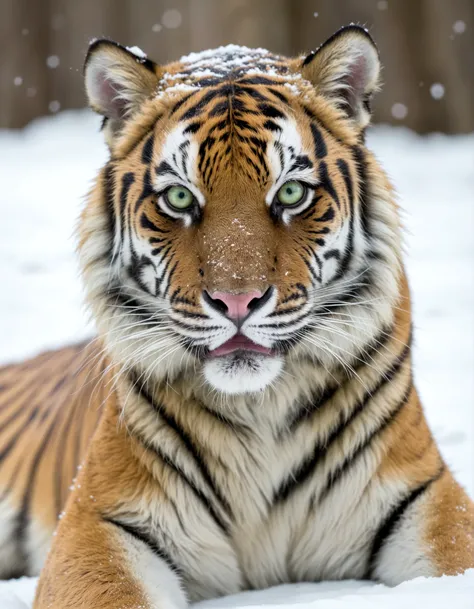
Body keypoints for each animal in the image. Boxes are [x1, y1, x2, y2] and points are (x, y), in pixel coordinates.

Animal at [0, 23, 470, 608]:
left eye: (290, 192)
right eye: (180, 198)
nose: (238, 302)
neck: (259, 407)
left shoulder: (426, 495)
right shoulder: (99, 519)